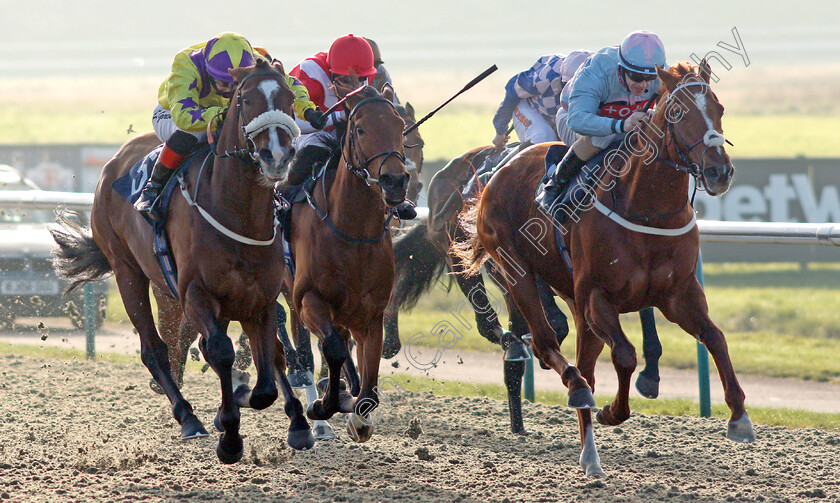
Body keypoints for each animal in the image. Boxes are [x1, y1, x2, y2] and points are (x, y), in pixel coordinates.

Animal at [52, 59, 316, 464]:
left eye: (289, 96)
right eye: (247, 99)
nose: (277, 154)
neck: (236, 212)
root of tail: (111, 165)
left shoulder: (259, 298)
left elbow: (269, 366)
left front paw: (292, 421)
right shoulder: (197, 293)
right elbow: (222, 351)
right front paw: (229, 436)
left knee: (186, 343)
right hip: (128, 273)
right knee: (154, 349)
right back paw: (188, 418)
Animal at [286, 86, 410, 444]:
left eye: (400, 126)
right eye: (360, 129)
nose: (395, 181)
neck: (353, 232)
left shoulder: (371, 313)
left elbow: (369, 385)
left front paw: (358, 413)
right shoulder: (308, 298)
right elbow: (332, 347)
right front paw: (323, 406)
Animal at [452, 61, 756, 478]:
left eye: (719, 108)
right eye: (679, 113)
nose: (718, 172)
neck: (646, 208)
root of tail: (499, 168)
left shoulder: (679, 295)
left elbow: (715, 337)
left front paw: (739, 416)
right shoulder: (598, 296)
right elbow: (626, 354)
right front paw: (613, 411)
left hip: (575, 302)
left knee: (586, 365)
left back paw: (590, 455)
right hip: (519, 273)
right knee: (549, 346)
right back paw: (579, 397)